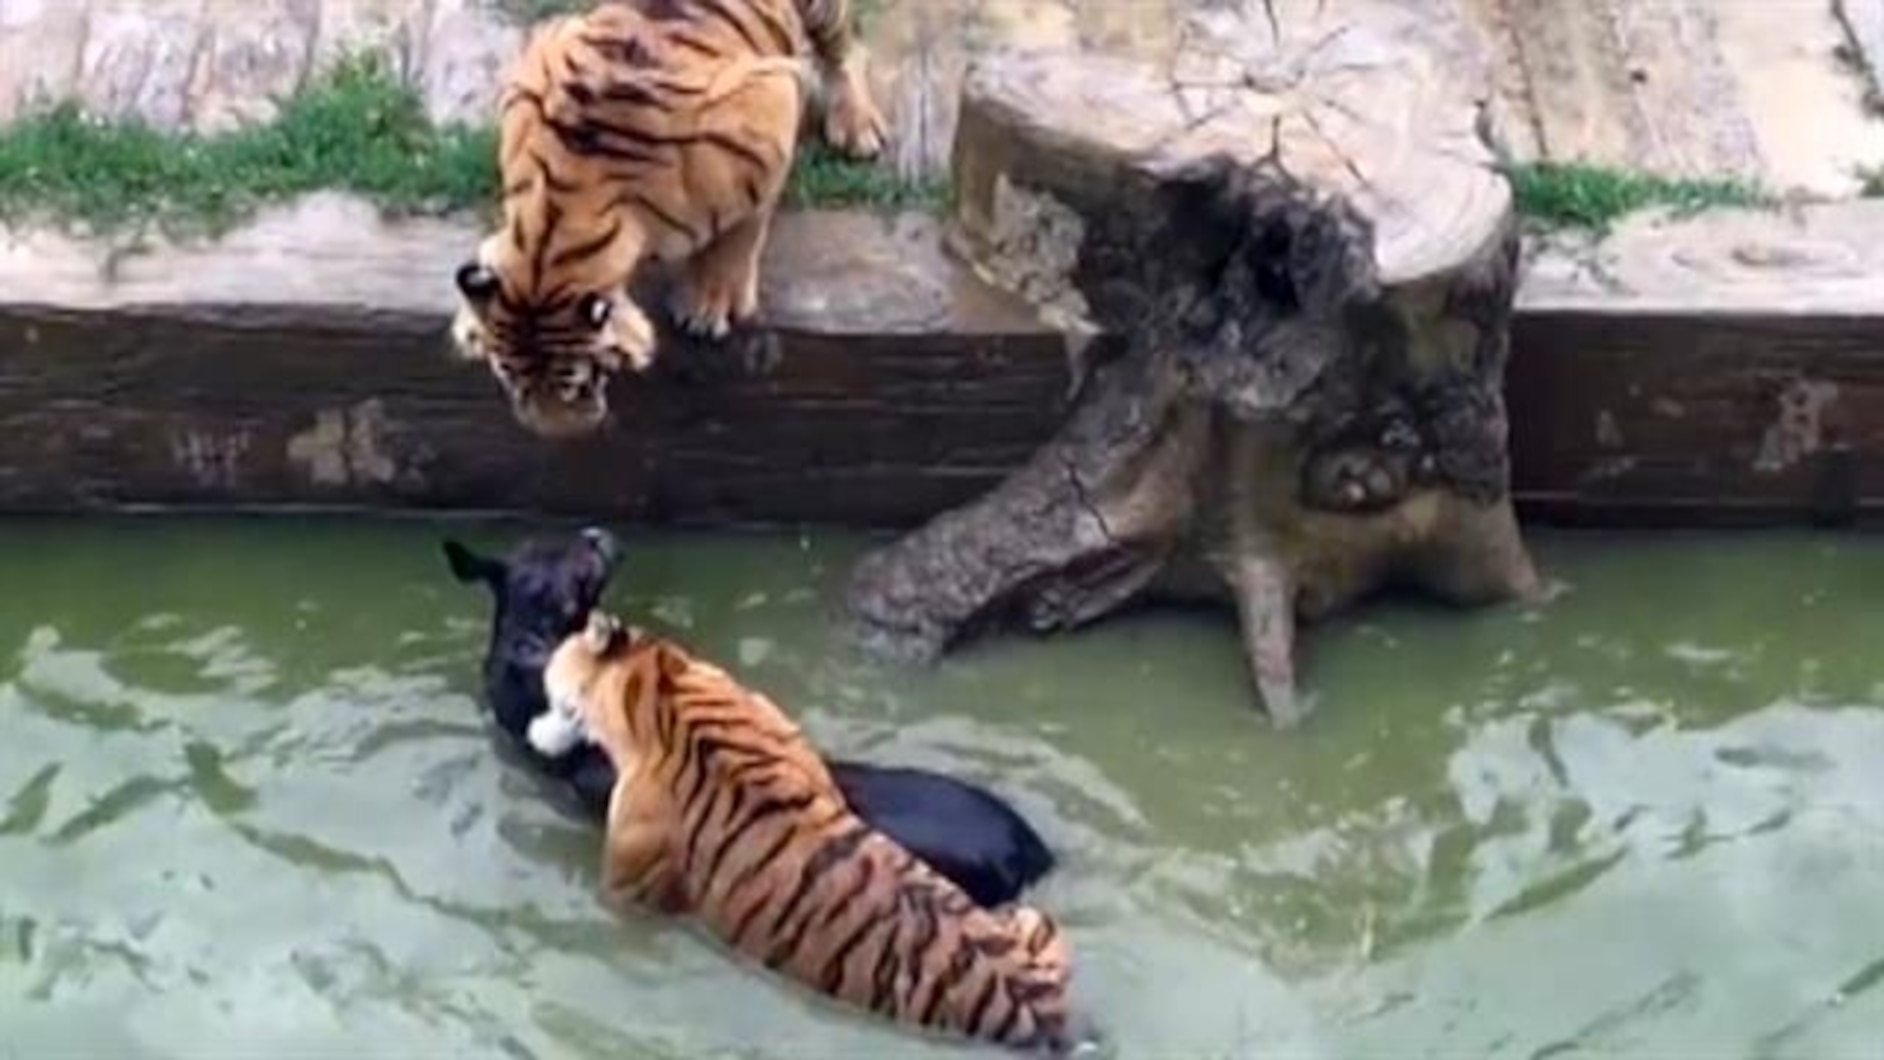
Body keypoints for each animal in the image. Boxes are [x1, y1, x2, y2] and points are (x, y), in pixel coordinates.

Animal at [450, 0, 889, 439]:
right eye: (512, 382)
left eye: (580, 384)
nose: (556, 436)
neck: (553, 224)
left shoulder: (771, 106)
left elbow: (745, 224)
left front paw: (708, 303)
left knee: (847, 45)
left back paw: (858, 125)